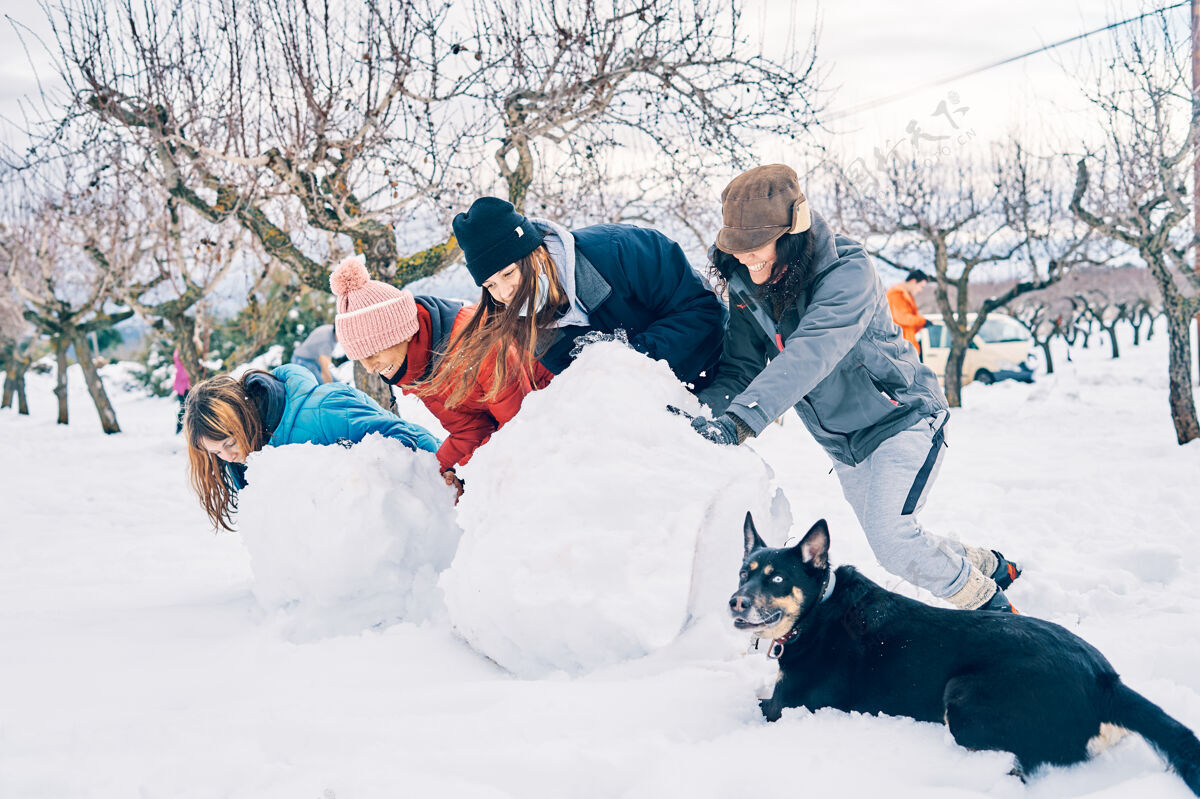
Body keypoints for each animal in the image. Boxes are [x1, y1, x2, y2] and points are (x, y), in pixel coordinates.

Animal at [729, 513, 1200, 787]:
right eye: (743, 573)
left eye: (775, 579)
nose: (736, 601)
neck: (818, 609)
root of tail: (1104, 680)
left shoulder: (786, 706)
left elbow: (753, 703)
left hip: (964, 699)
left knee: (1016, 760)